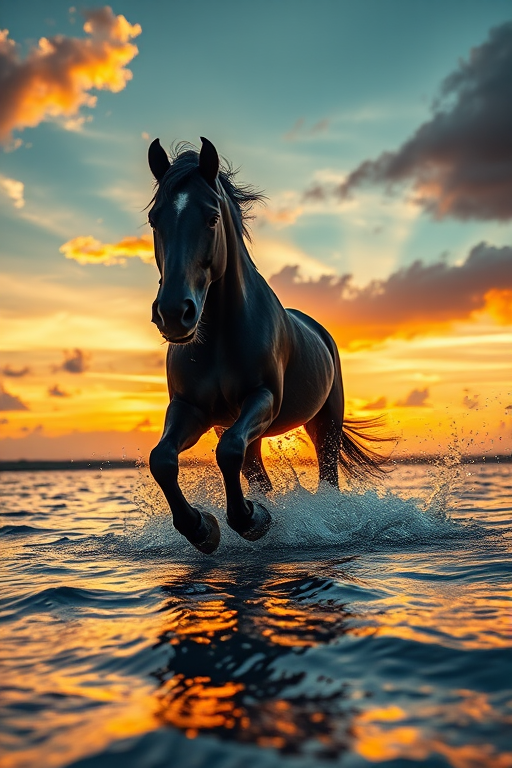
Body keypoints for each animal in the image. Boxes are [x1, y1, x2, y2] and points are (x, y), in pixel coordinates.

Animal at [147, 137, 388, 554]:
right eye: (154, 219)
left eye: (211, 218)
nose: (175, 313)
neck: (218, 338)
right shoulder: (191, 409)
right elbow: (162, 460)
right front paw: (202, 527)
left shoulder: (263, 398)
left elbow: (228, 451)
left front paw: (252, 519)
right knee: (252, 468)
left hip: (324, 423)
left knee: (326, 478)